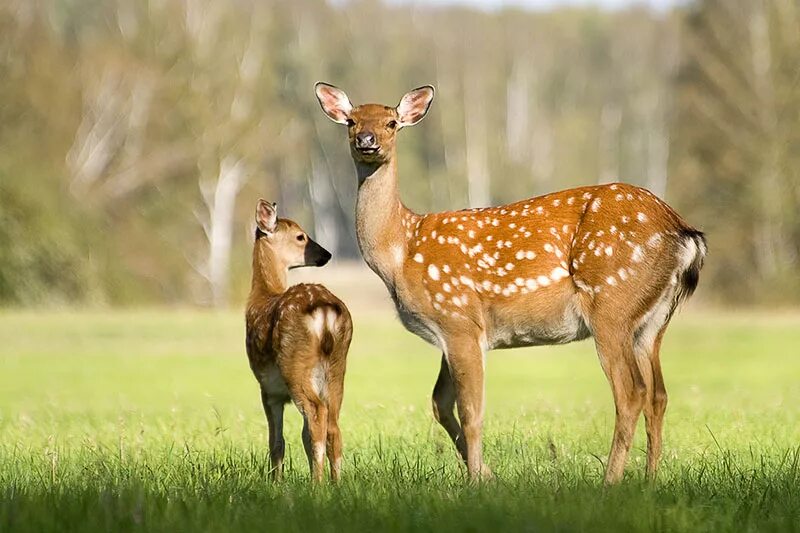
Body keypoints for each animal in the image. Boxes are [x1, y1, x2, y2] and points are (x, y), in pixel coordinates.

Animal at [247, 200, 354, 482]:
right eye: (301, 236)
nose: (326, 254)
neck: (261, 297)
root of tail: (325, 312)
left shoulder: (268, 389)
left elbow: (277, 441)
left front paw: (276, 482)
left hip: (295, 364)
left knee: (317, 415)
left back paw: (317, 484)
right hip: (337, 366)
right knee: (333, 424)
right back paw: (336, 482)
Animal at [316, 82, 708, 482]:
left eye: (391, 122)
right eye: (351, 121)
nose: (367, 141)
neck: (401, 252)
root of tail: (684, 232)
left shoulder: (458, 318)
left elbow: (471, 412)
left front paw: (476, 479)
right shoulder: (451, 330)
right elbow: (441, 405)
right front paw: (489, 476)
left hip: (611, 303)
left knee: (631, 393)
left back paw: (610, 481)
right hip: (652, 321)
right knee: (658, 395)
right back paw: (649, 480)